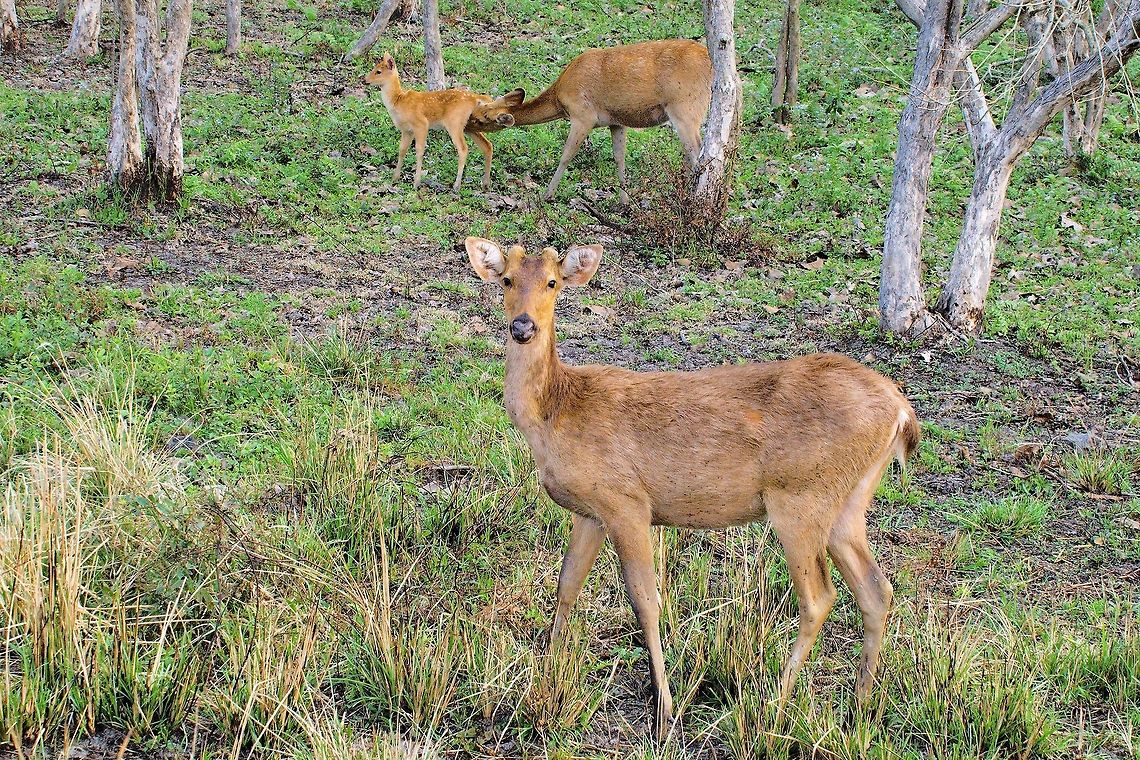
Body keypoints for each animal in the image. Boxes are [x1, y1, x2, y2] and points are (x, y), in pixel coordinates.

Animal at [365, 52, 513, 192]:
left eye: (378, 71)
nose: (365, 80)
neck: (399, 101)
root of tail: (474, 98)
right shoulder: (406, 130)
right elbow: (402, 150)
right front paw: (394, 178)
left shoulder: (421, 124)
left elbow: (419, 150)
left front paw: (416, 183)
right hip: (469, 125)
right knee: (487, 145)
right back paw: (485, 184)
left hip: (454, 122)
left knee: (463, 149)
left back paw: (457, 185)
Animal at [465, 236, 921, 740]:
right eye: (507, 280)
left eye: (551, 282)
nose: (522, 326)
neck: (556, 413)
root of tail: (902, 412)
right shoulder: (590, 511)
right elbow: (567, 585)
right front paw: (546, 670)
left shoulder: (627, 501)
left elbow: (646, 601)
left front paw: (664, 710)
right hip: (849, 503)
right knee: (877, 590)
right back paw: (860, 705)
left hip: (801, 496)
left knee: (820, 597)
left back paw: (773, 704)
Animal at [466, 39, 712, 203]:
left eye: (480, 119)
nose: (464, 125)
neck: (559, 97)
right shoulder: (616, 121)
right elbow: (619, 158)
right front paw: (624, 203)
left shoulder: (583, 115)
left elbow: (566, 155)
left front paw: (547, 195)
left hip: (685, 106)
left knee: (698, 154)